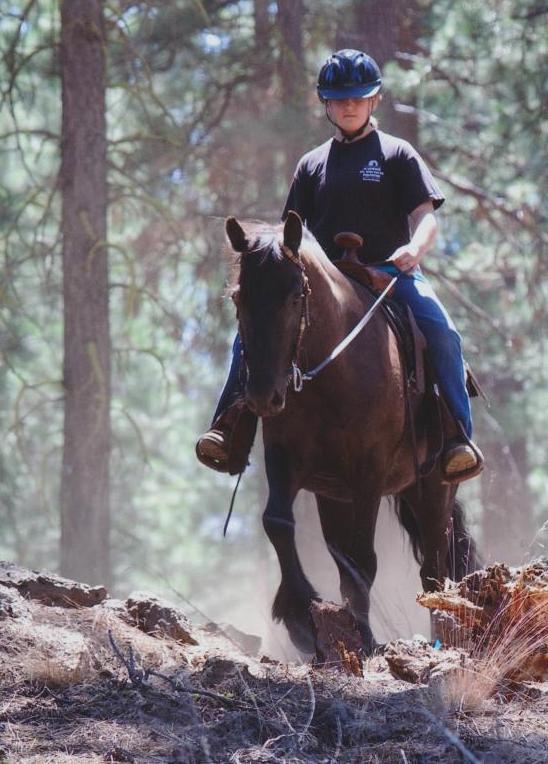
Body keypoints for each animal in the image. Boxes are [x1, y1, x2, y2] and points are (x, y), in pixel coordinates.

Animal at [225, 212, 478, 652]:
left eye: (295, 296)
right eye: (240, 298)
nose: (262, 395)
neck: (333, 372)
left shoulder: (369, 473)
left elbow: (362, 559)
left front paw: (362, 638)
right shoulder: (284, 459)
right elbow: (278, 523)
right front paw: (300, 616)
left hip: (434, 488)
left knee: (434, 566)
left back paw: (441, 639)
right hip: (335, 496)